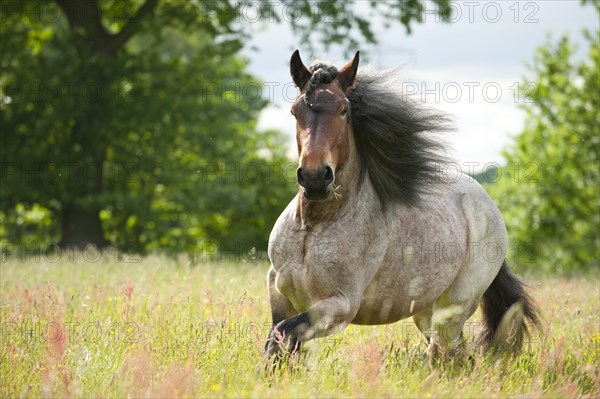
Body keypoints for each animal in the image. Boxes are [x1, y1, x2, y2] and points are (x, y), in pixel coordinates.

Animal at [264, 49, 540, 360]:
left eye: (344, 110)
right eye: (295, 111)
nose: (314, 177)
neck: (313, 226)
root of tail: (489, 206)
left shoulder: (339, 306)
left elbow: (282, 336)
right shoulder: (279, 294)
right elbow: (279, 341)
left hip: (454, 309)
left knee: (445, 353)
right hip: (425, 311)